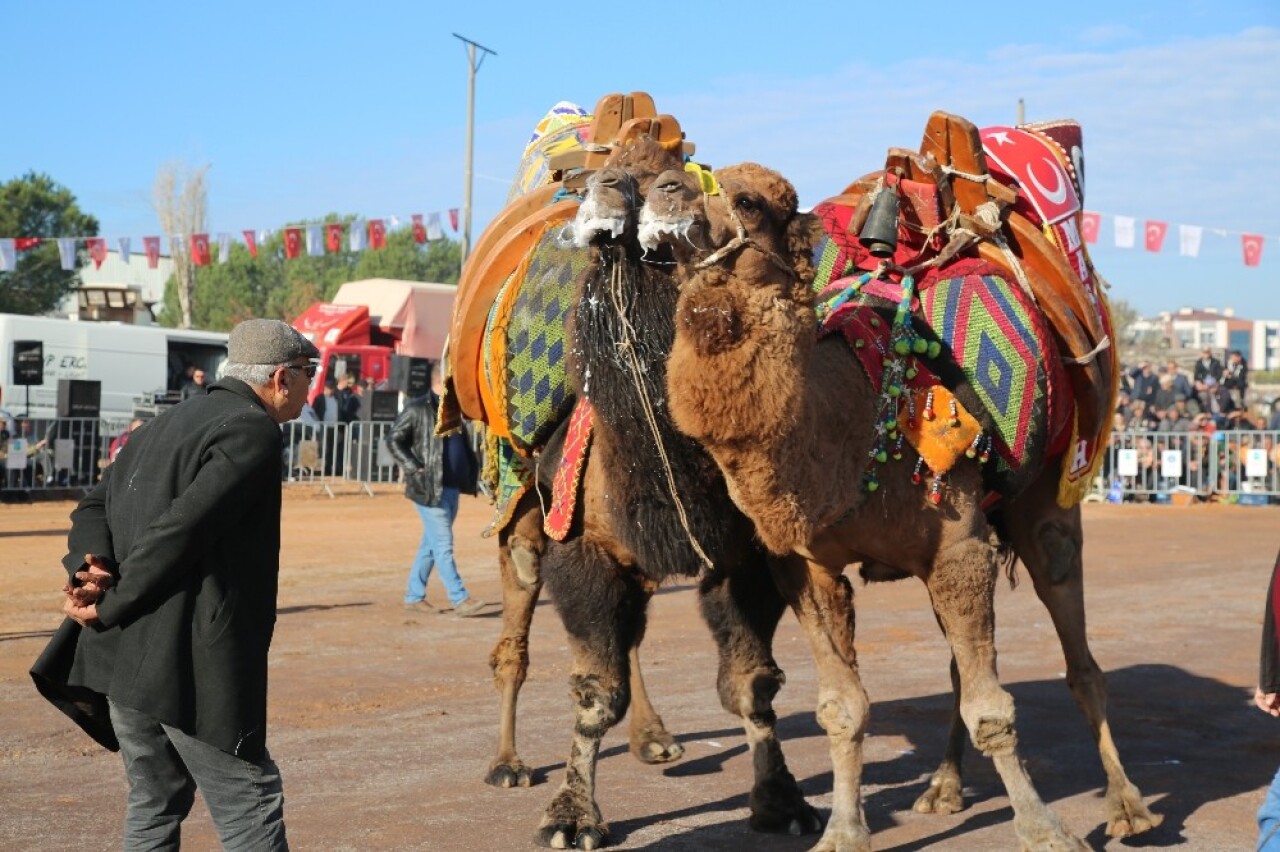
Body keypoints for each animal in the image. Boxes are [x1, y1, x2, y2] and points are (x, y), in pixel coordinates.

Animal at [634, 162, 1157, 844]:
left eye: (747, 200)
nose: (661, 185)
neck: (845, 422)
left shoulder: (959, 548)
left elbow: (993, 710)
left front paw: (1045, 830)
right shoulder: (807, 566)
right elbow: (842, 708)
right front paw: (842, 831)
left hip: (1050, 498)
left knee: (1081, 660)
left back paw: (1129, 807)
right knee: (963, 669)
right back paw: (943, 788)